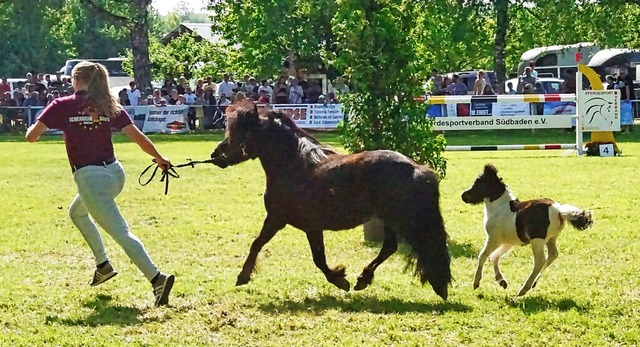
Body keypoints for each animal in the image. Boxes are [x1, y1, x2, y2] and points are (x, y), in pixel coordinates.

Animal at [210, 107, 450, 300]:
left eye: (238, 132)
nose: (215, 154)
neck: (295, 166)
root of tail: (416, 168)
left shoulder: (278, 219)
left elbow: (260, 244)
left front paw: (243, 276)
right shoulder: (310, 227)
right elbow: (317, 257)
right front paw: (341, 278)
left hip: (400, 219)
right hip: (389, 219)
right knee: (390, 247)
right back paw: (364, 279)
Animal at [460, 166, 592, 296]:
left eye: (478, 182)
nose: (463, 196)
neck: (500, 208)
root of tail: (559, 210)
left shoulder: (493, 238)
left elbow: (483, 255)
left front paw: (476, 283)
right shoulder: (508, 242)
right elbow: (494, 257)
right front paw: (502, 281)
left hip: (537, 241)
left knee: (540, 261)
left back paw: (524, 289)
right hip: (551, 238)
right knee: (553, 255)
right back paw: (533, 283)